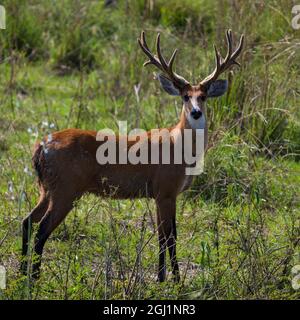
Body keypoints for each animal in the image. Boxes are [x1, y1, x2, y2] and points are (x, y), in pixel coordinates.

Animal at [21, 28, 244, 282]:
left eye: (204, 96)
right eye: (185, 96)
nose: (196, 112)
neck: (180, 148)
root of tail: (41, 146)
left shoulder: (161, 193)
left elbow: (164, 236)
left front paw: (163, 277)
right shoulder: (166, 189)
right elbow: (169, 237)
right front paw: (173, 280)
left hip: (47, 188)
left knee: (27, 222)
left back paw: (21, 274)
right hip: (66, 188)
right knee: (41, 229)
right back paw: (35, 277)